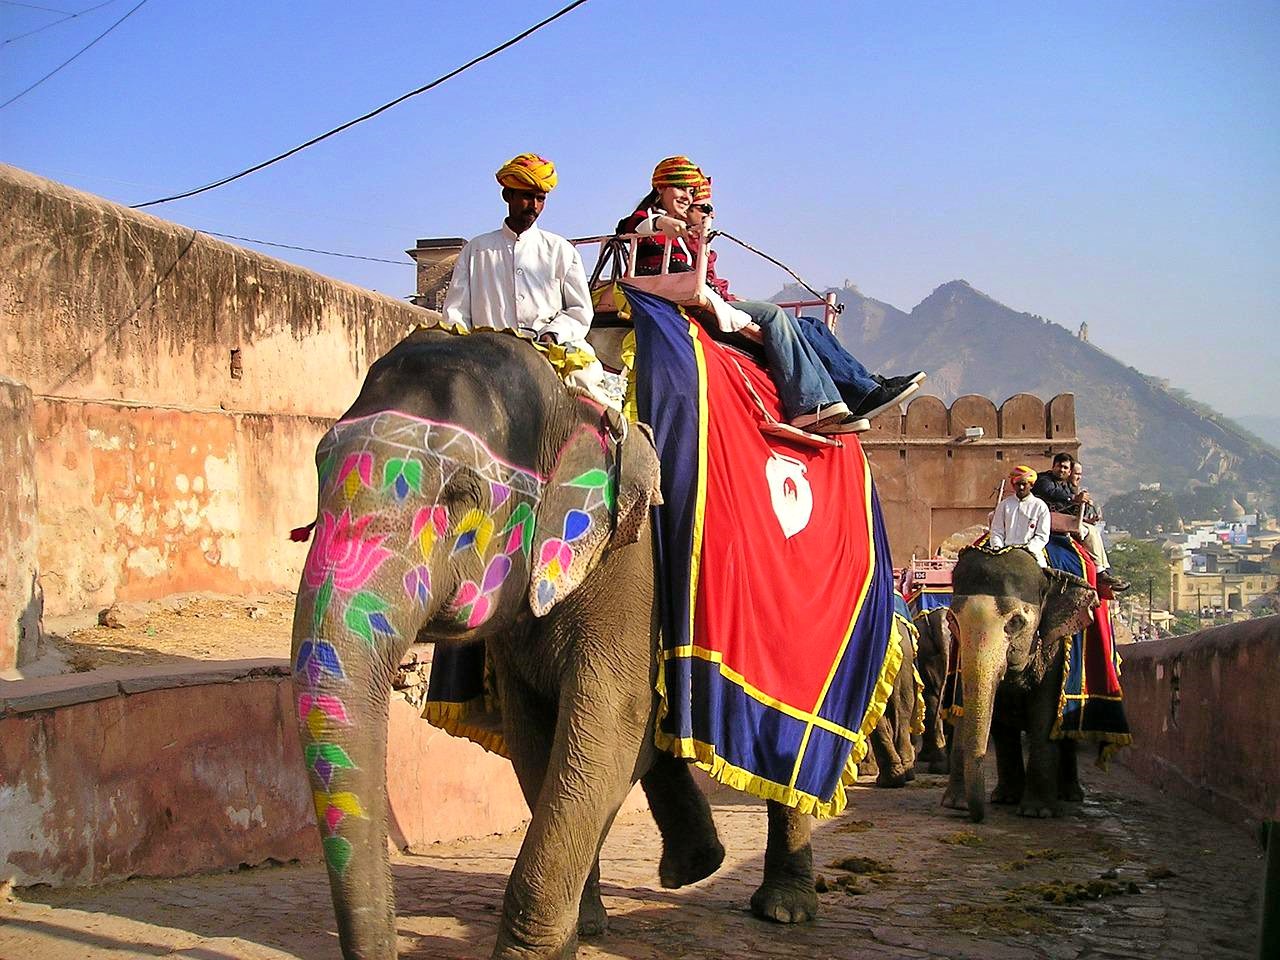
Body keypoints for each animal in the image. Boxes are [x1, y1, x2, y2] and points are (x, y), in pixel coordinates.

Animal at [293, 332, 819, 960]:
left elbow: (607, 722)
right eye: (317, 467)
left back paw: (783, 908)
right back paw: (694, 868)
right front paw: (584, 928)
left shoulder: (636, 567)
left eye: (460, 495)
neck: (570, 400)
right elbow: (539, 735)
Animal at [936, 545, 1095, 824]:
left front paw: (1037, 813)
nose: (976, 817)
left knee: (1065, 729)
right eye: (952, 621)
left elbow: (1044, 714)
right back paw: (1006, 797)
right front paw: (956, 804)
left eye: (1016, 622)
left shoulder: (1053, 647)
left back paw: (1069, 796)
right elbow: (970, 706)